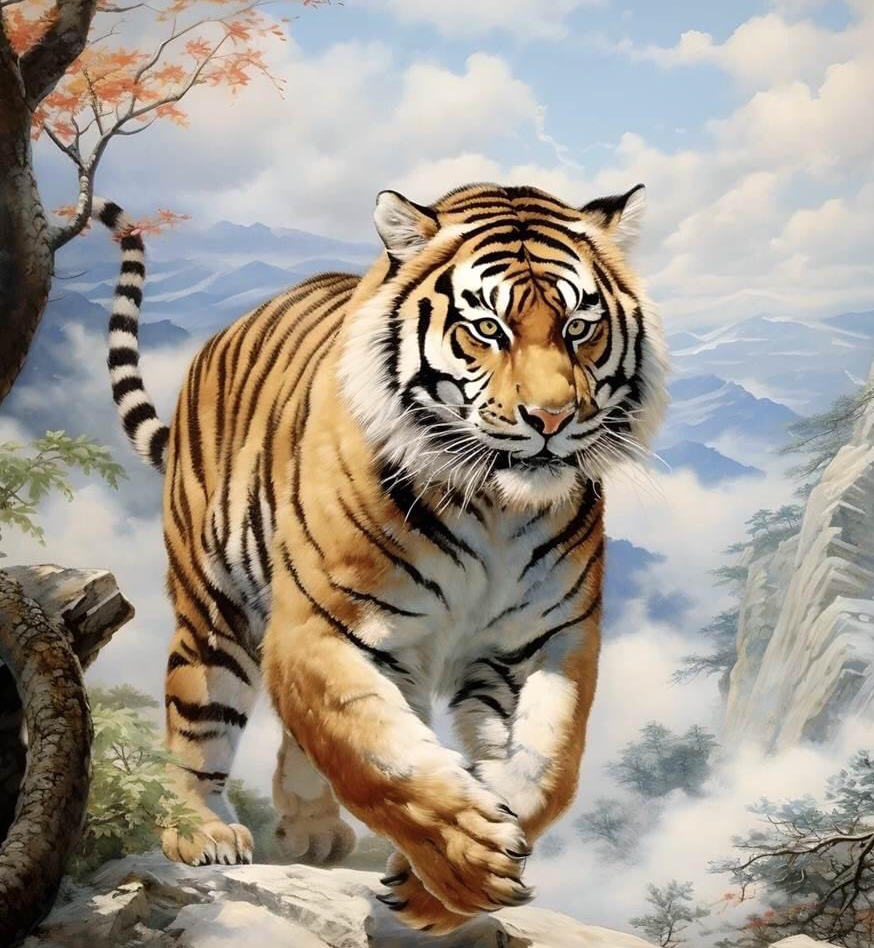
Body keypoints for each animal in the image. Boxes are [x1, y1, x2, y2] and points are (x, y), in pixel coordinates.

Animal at [93, 181, 667, 935]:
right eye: (488, 329)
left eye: (578, 328)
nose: (551, 419)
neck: (496, 506)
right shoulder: (325, 626)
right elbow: (379, 754)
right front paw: (463, 861)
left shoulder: (546, 641)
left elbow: (546, 767)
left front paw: (438, 886)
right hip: (215, 610)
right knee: (199, 712)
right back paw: (202, 830)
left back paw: (311, 831)